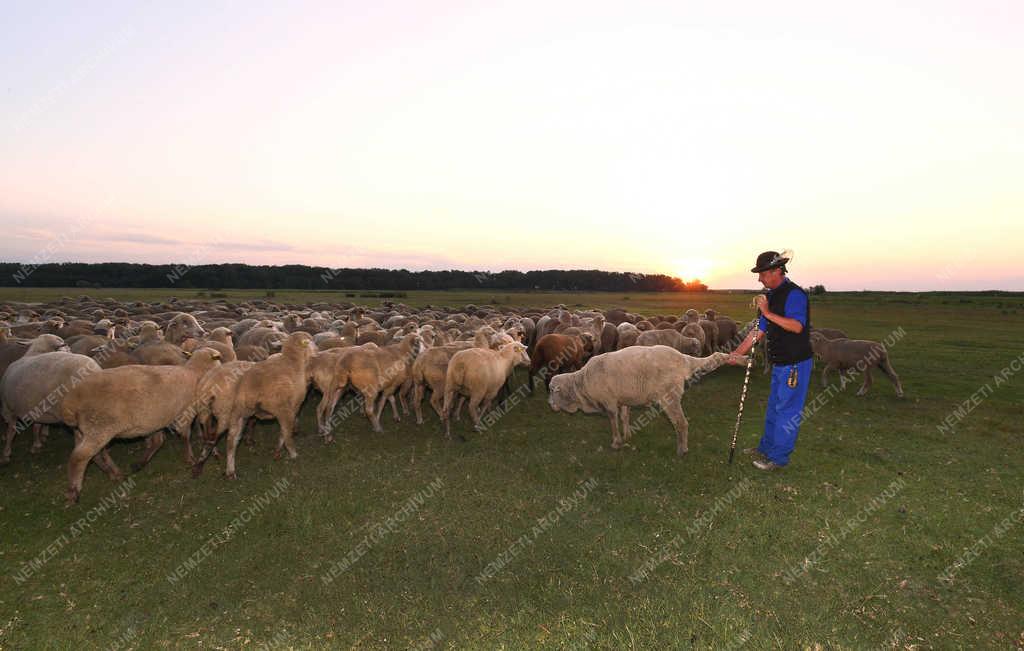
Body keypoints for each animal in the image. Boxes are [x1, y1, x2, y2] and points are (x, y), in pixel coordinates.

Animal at [60, 348, 223, 501]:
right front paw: (190, 458)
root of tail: (70, 404)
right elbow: (185, 436)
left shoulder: (156, 420)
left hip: (84, 431)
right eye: (219, 358)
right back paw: (73, 491)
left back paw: (114, 473)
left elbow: (158, 441)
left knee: (95, 455)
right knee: (79, 457)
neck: (196, 372)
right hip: (99, 427)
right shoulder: (185, 414)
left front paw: (140, 463)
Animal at [552, 345, 745, 458]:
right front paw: (627, 435)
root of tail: (683, 359)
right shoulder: (623, 399)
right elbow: (624, 417)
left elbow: (613, 421)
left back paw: (681, 450)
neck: (581, 383)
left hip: (669, 397)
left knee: (681, 423)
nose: (551, 405)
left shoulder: (609, 402)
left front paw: (616, 442)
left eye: (553, 391)